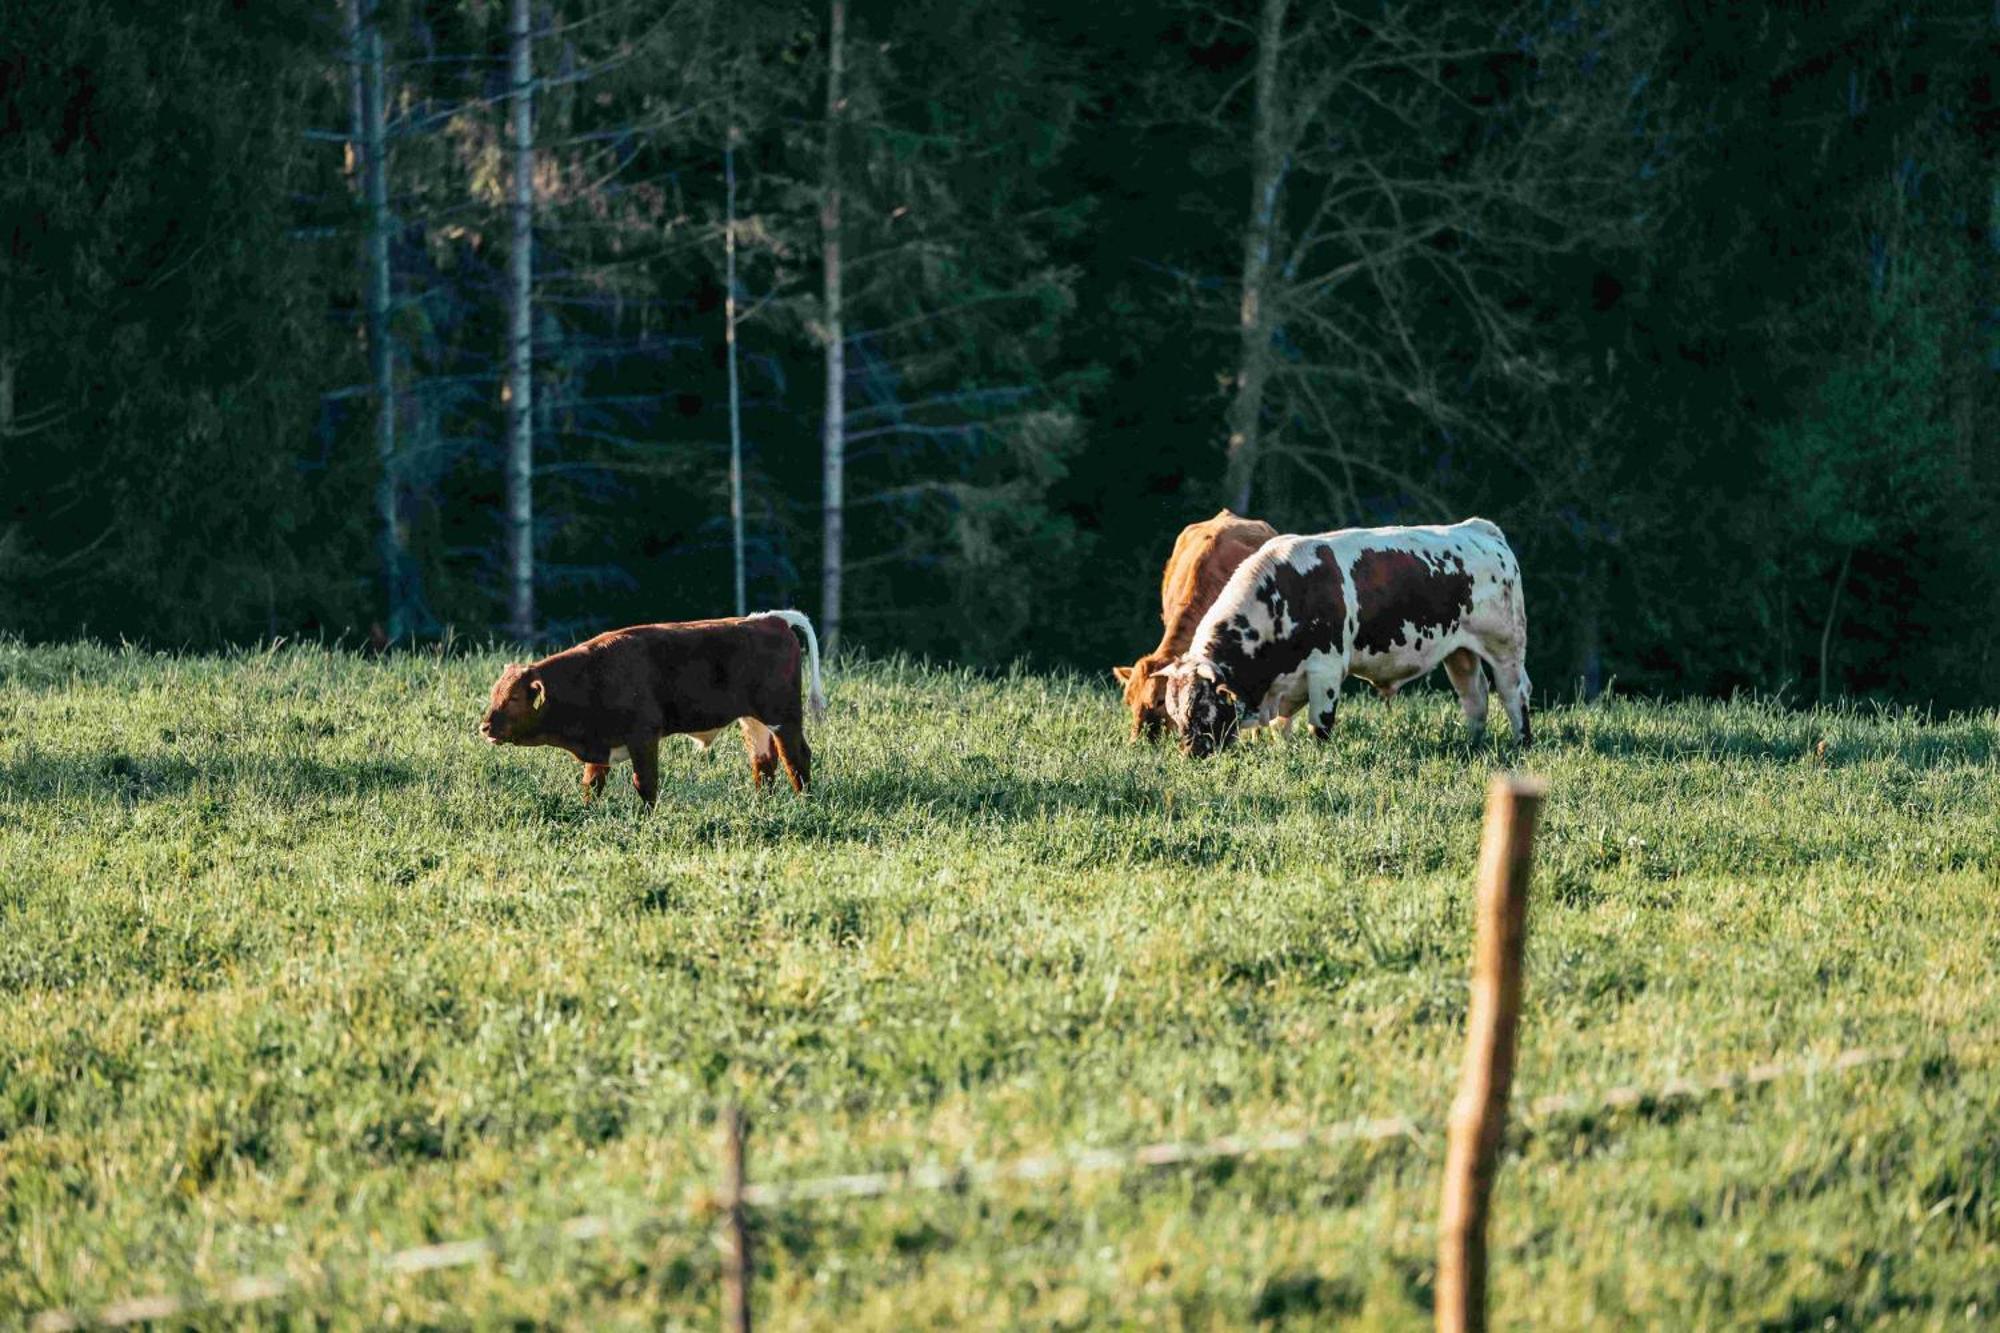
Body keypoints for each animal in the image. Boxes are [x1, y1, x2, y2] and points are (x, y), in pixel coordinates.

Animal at [480, 608, 824, 804]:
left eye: (514, 697)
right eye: (495, 693)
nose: (485, 726)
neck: (593, 674)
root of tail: (771, 619)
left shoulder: (643, 736)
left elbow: (645, 783)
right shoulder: (602, 745)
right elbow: (592, 784)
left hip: (783, 716)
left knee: (796, 758)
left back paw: (804, 803)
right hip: (753, 720)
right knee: (764, 762)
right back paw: (764, 805)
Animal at [1160, 512, 1528, 752]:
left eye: (1199, 709)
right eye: (1173, 714)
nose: (1192, 754)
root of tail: (1479, 528)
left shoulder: (1326, 668)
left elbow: (1319, 723)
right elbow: (1281, 727)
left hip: (1506, 646)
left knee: (1513, 692)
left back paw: (1521, 743)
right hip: (1460, 651)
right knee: (1475, 697)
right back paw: (1472, 745)